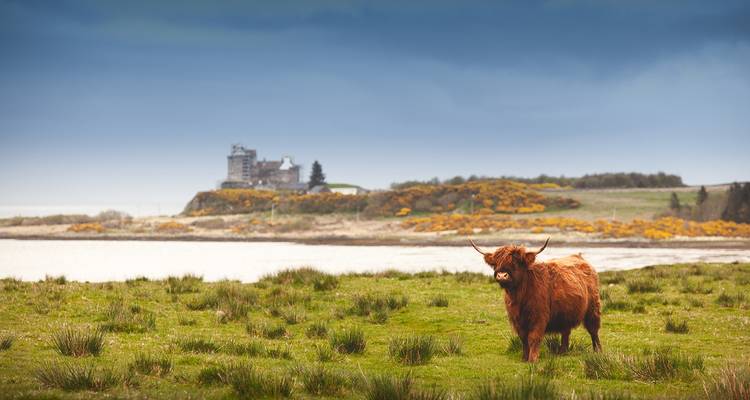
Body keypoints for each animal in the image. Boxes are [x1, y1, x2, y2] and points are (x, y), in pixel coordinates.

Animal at [470, 238, 602, 362]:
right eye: (496, 263)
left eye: (516, 261)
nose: (502, 275)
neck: (520, 296)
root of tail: (581, 259)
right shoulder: (517, 320)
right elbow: (523, 338)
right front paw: (524, 357)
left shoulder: (539, 316)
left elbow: (533, 337)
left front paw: (533, 359)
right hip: (566, 312)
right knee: (566, 332)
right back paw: (562, 352)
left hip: (593, 308)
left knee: (593, 330)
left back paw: (598, 351)